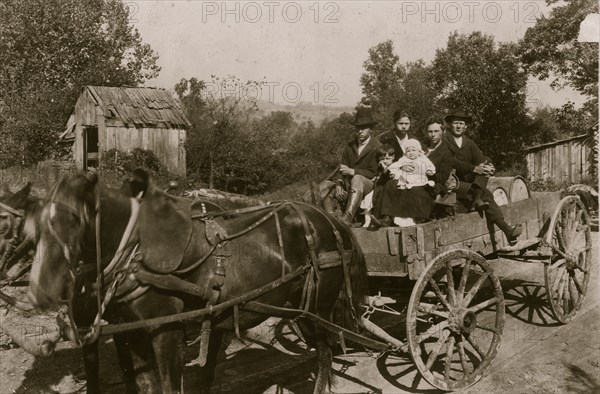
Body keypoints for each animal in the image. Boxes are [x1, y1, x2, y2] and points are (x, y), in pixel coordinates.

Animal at [27, 172, 370, 394]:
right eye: (35, 223)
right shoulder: (133, 333)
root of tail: (330, 220)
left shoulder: (166, 332)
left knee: (325, 354)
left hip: (317, 309)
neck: (136, 250)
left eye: (73, 219)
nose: (41, 290)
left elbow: (169, 386)